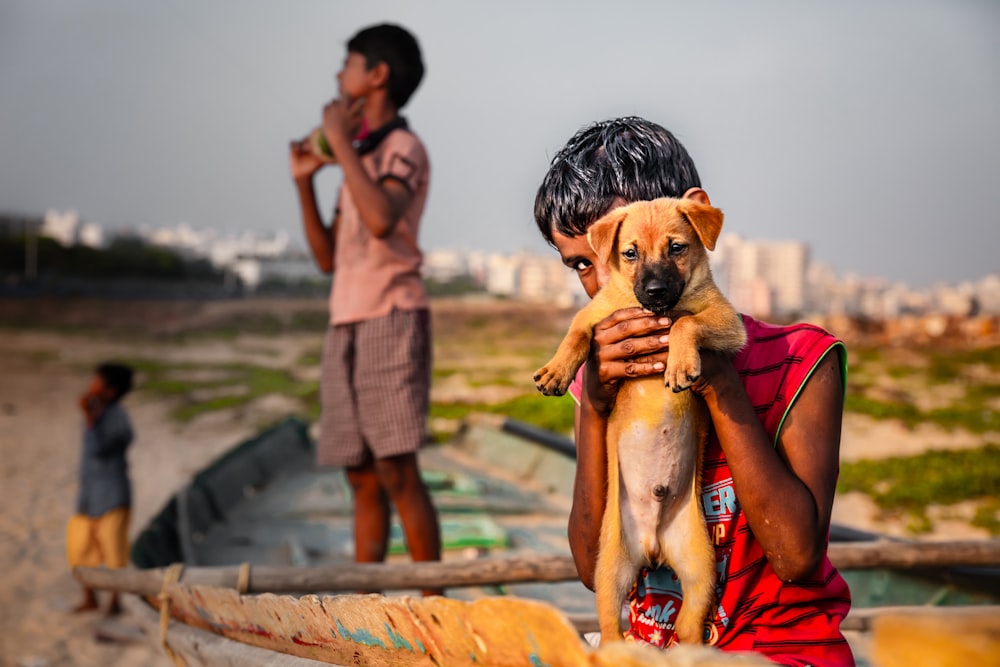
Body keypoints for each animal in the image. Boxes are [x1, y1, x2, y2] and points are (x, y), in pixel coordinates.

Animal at [536, 196, 748, 644]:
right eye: (630, 253)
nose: (654, 291)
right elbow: (576, 334)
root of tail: (653, 546)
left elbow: (686, 321)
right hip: (610, 570)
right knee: (610, 628)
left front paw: (681, 363)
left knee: (688, 626)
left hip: (701, 568)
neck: (655, 310)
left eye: (677, 248)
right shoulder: (596, 315)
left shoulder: (726, 322)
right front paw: (556, 371)